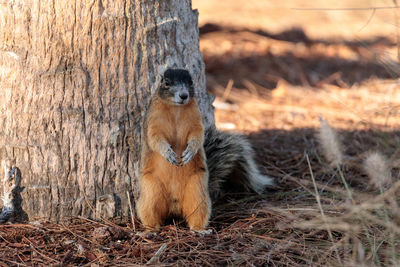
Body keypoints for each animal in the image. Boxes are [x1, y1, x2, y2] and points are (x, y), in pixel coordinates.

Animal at [136, 68, 274, 232]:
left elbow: (197, 136)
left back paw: (199, 230)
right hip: (151, 191)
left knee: (197, 214)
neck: (176, 110)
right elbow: (155, 139)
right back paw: (150, 230)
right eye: (167, 82)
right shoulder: (153, 122)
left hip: (197, 192)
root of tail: (174, 206)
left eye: (190, 82)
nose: (183, 95)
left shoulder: (196, 121)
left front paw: (190, 151)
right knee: (150, 212)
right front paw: (168, 153)